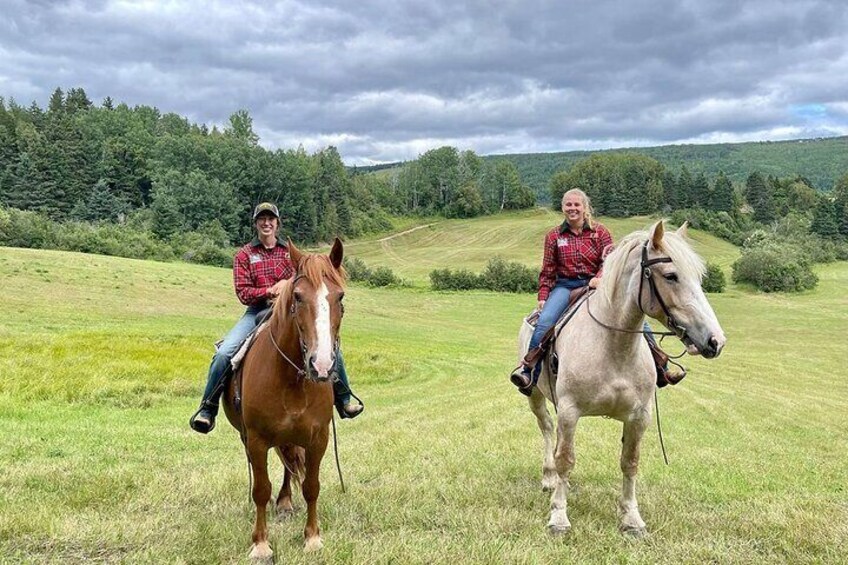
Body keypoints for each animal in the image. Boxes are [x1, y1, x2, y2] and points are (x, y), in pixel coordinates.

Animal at [224, 236, 350, 556]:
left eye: (340, 297)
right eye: (297, 297)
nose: (321, 365)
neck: (292, 380)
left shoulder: (318, 438)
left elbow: (311, 486)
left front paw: (313, 538)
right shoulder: (256, 439)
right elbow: (260, 489)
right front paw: (260, 544)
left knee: (288, 464)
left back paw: (284, 502)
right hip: (248, 437)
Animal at [516, 219, 728, 532]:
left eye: (699, 278)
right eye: (671, 276)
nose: (716, 341)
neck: (612, 346)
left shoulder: (639, 417)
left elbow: (630, 462)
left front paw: (631, 518)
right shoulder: (570, 411)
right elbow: (566, 459)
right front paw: (559, 516)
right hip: (535, 395)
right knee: (546, 429)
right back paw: (549, 477)